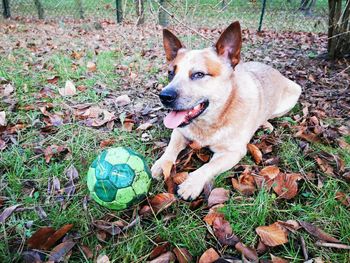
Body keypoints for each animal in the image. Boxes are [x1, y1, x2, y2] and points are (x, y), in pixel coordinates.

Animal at [150, 21, 300, 201]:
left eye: (198, 74)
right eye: (171, 73)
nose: (164, 96)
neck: (210, 122)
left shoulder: (233, 152)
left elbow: (209, 166)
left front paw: (191, 184)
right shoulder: (179, 132)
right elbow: (170, 149)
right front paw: (162, 164)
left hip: (292, 95)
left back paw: (266, 124)